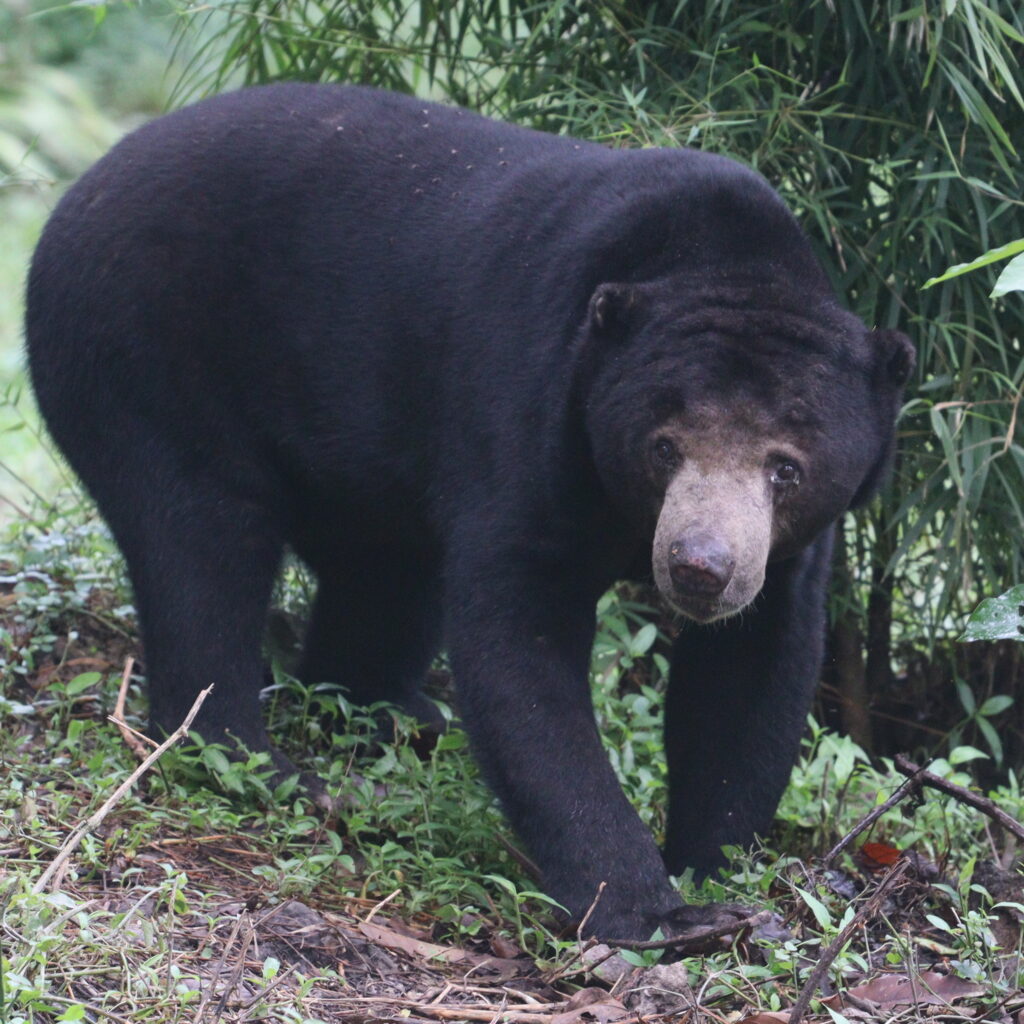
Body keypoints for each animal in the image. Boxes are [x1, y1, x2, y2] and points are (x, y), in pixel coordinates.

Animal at [25, 83, 913, 942]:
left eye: (785, 468)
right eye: (663, 447)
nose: (699, 568)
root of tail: (80, 191)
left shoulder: (785, 553)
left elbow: (751, 667)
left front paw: (717, 872)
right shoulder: (531, 407)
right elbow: (519, 638)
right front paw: (656, 913)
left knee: (378, 575)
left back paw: (393, 716)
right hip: (147, 350)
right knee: (202, 542)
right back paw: (262, 762)